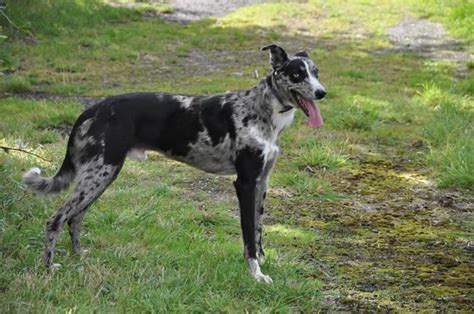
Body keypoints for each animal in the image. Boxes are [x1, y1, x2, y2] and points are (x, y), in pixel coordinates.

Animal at [23, 44, 326, 284]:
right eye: (297, 74)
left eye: (316, 72)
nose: (322, 93)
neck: (262, 111)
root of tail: (93, 109)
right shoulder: (245, 183)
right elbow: (249, 236)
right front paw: (256, 274)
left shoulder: (263, 181)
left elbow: (258, 230)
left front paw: (262, 261)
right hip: (98, 175)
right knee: (56, 219)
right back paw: (48, 267)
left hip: (102, 176)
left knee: (75, 218)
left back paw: (80, 257)